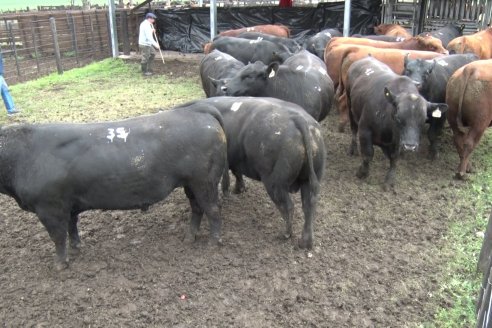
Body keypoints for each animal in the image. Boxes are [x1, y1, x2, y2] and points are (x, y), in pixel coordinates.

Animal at [0, 105, 227, 270]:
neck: (22, 156)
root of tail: (197, 109)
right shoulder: (67, 205)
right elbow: (72, 227)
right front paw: (76, 249)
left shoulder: (49, 208)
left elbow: (58, 236)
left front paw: (60, 265)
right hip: (191, 184)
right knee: (197, 209)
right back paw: (189, 237)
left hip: (204, 181)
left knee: (213, 210)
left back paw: (212, 243)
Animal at [178, 95, 326, 249]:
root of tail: (299, 118)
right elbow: (237, 173)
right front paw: (239, 189)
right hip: (309, 180)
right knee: (309, 206)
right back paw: (305, 242)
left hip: (275, 183)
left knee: (288, 206)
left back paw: (284, 234)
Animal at [348, 56, 448, 190]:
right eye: (398, 117)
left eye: (422, 121)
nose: (410, 146)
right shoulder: (365, 130)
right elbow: (368, 154)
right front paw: (362, 173)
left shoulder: (398, 141)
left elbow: (394, 158)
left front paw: (389, 180)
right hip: (350, 109)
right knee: (353, 129)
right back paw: (353, 149)